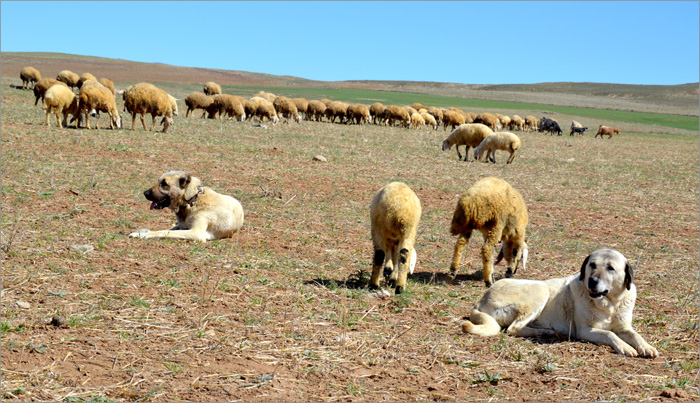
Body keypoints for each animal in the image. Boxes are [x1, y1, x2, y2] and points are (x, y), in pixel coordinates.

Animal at [462, 249, 660, 360]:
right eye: (592, 265)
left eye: (610, 268)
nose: (592, 280)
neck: (609, 304)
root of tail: (480, 300)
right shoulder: (585, 330)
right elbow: (609, 333)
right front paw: (625, 347)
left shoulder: (624, 327)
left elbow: (636, 335)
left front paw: (646, 347)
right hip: (540, 288)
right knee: (513, 329)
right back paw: (545, 332)